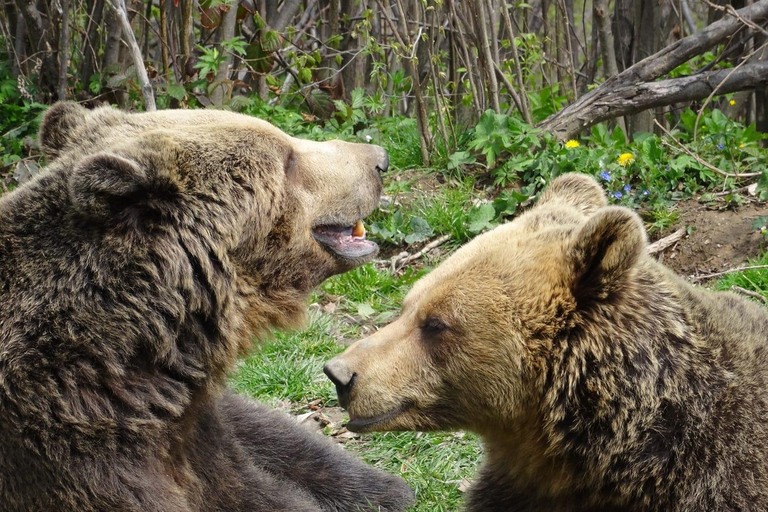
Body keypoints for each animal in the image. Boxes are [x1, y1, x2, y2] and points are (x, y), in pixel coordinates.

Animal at [0, 102, 414, 512]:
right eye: (288, 159)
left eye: (286, 141)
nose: (380, 159)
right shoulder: (75, 451)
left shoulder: (193, 420)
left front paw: (384, 487)